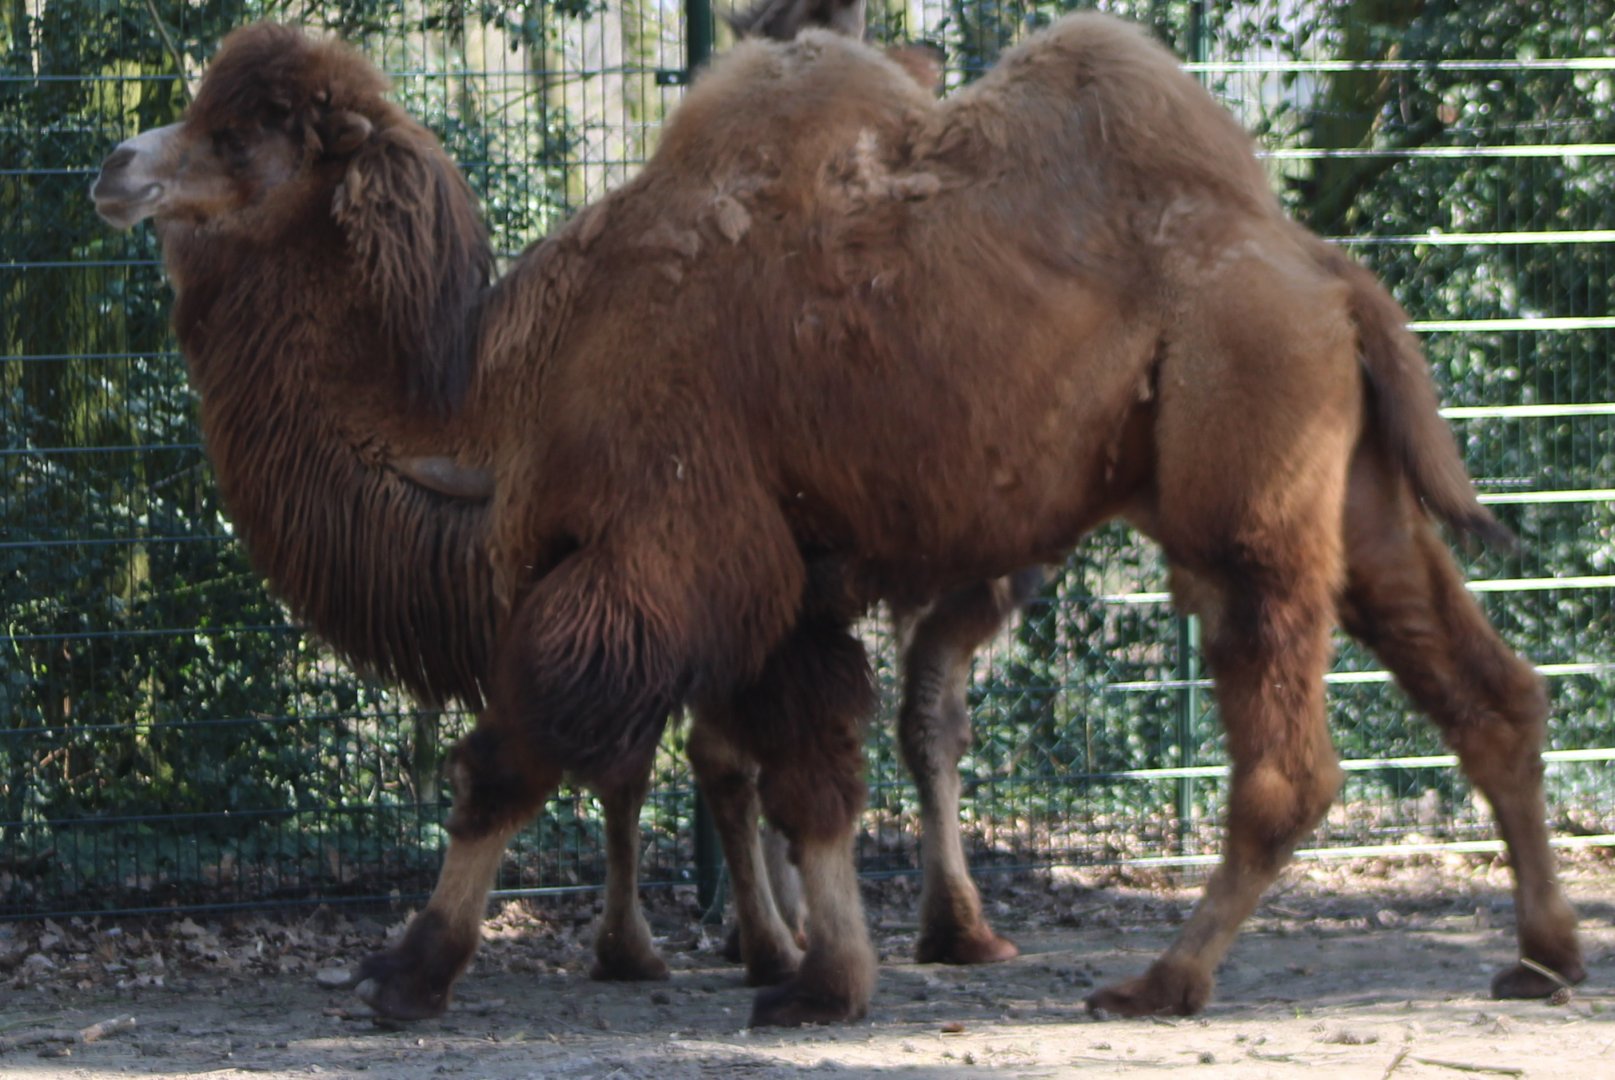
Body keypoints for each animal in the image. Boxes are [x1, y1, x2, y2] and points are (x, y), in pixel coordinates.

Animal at [90, 14, 1583, 1026]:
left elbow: (516, 751)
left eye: (241, 134)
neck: (485, 405)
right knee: (1488, 690)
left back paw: (1160, 982)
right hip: (1351, 495)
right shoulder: (785, 581)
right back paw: (1539, 955)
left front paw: (409, 970)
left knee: (1287, 759)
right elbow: (805, 771)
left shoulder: (660, 551)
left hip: (1243, 493)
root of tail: (1329, 275)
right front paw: (823, 978)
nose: (113, 161)